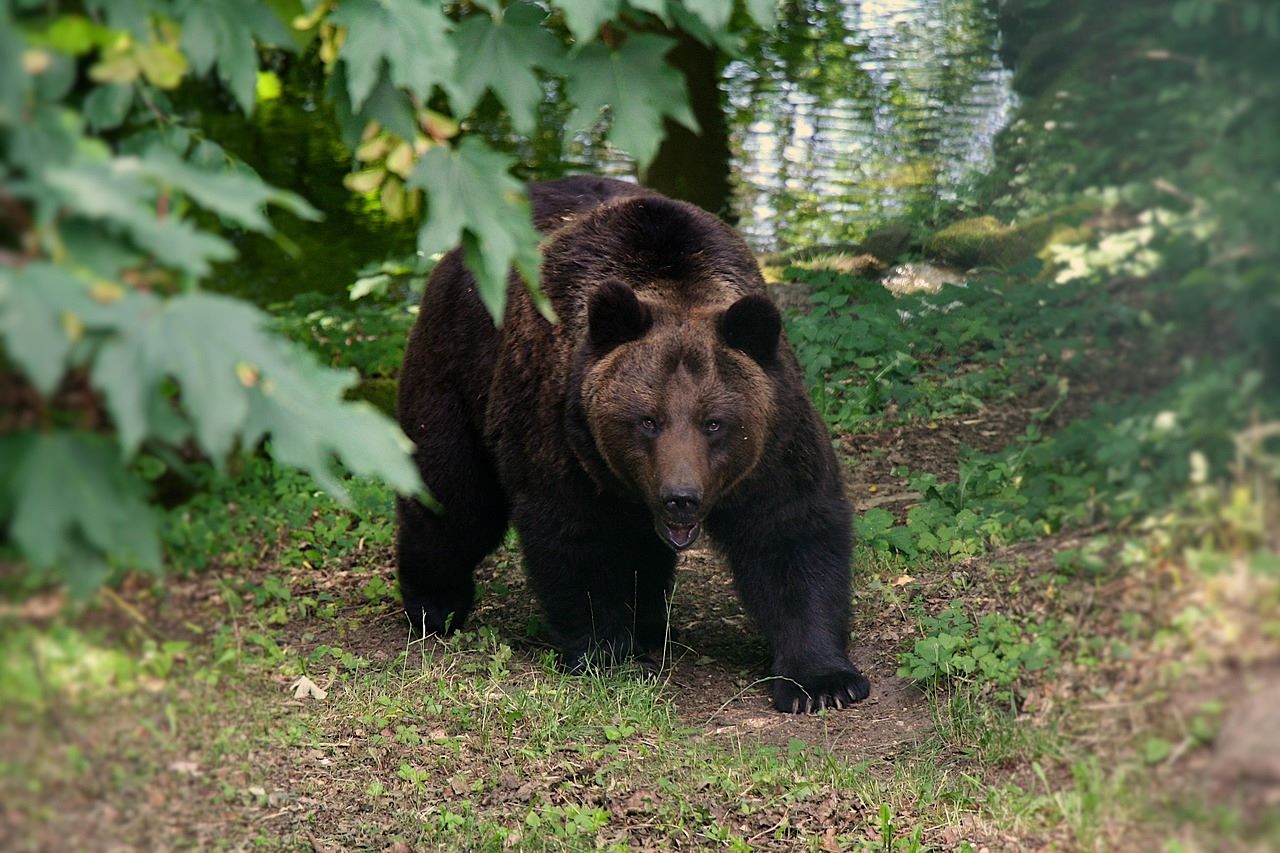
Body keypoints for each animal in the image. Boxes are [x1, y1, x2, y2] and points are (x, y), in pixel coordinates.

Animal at [395, 175, 870, 713]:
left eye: (714, 422)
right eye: (648, 419)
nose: (681, 498)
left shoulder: (775, 439)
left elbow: (791, 531)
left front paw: (823, 681)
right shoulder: (562, 431)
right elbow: (577, 538)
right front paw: (605, 651)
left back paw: (650, 626)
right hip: (458, 368)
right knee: (454, 499)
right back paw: (434, 605)